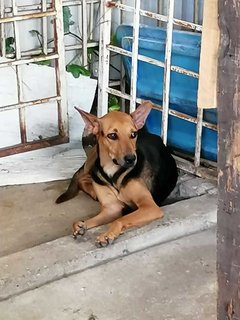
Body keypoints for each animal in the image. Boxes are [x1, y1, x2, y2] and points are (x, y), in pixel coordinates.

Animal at [55, 101, 176, 246]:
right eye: (112, 135)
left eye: (133, 134)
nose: (131, 159)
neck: (113, 172)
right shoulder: (111, 208)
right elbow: (80, 222)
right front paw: (81, 225)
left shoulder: (150, 207)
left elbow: (120, 219)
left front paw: (107, 234)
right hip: (92, 161)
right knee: (82, 178)